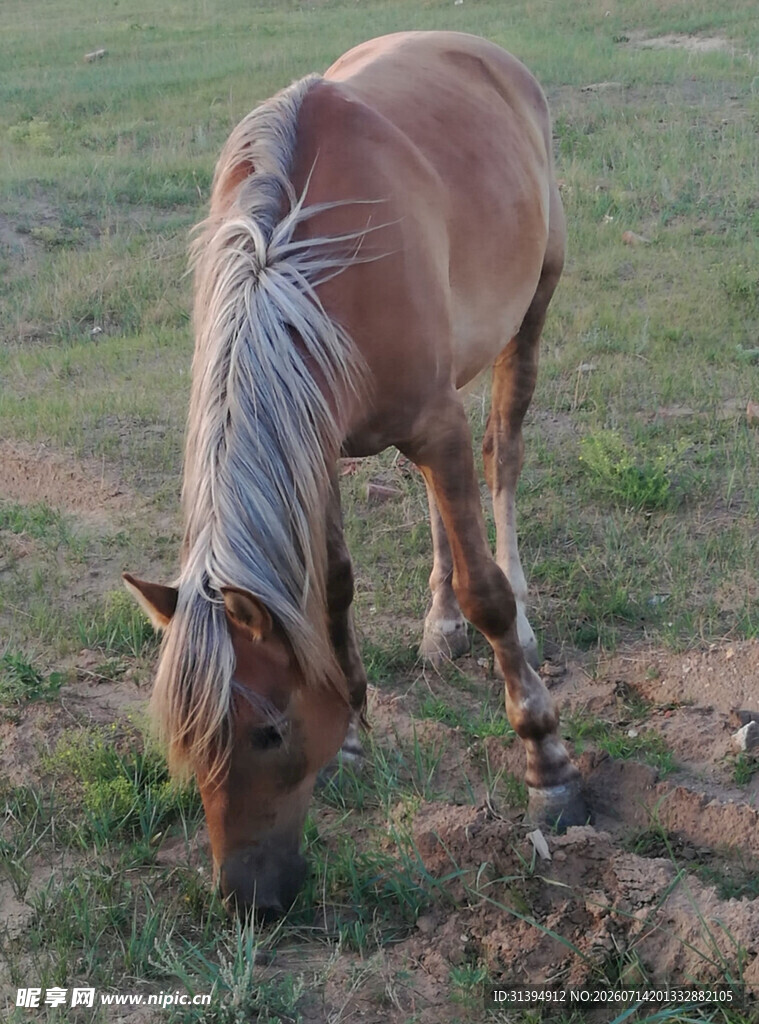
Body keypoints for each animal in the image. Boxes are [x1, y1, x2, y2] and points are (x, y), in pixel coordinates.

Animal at [124, 30, 587, 920]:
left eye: (267, 731)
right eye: (186, 744)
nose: (246, 901)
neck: (295, 264)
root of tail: (481, 50)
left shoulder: (432, 423)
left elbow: (485, 589)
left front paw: (545, 762)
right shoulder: (321, 441)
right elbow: (332, 588)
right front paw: (350, 718)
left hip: (530, 314)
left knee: (502, 455)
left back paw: (512, 610)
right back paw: (438, 624)